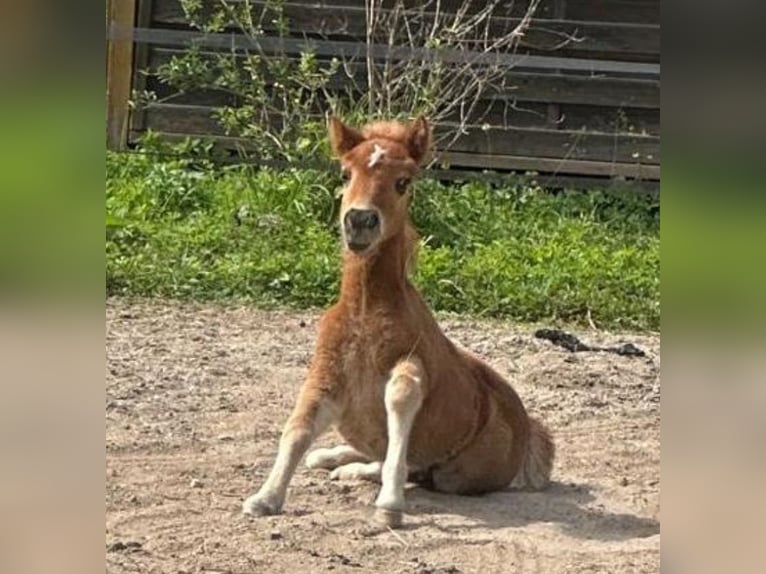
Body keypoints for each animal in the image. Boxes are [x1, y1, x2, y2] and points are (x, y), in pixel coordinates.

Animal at [242, 116, 555, 528]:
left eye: (403, 181)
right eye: (345, 173)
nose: (360, 221)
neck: (364, 312)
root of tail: (527, 431)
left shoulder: (410, 360)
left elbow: (401, 399)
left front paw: (390, 504)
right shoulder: (326, 375)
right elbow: (297, 429)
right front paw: (265, 498)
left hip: (455, 475)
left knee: (415, 466)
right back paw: (330, 458)